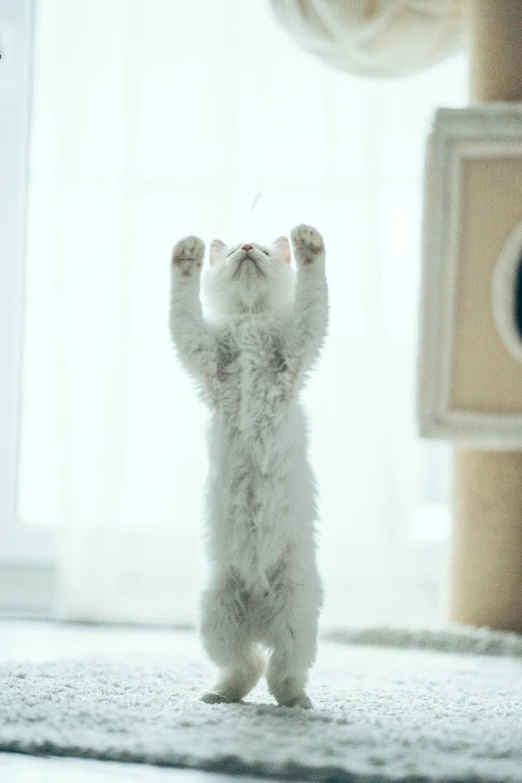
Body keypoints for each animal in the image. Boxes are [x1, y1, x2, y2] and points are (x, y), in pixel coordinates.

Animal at [169, 224, 328, 708]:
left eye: (261, 251)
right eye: (233, 254)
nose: (243, 249)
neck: (250, 324)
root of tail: (258, 608)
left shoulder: (298, 342)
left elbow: (314, 292)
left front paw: (307, 240)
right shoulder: (201, 350)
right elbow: (182, 304)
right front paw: (187, 252)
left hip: (296, 615)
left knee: (281, 671)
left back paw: (296, 703)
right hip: (216, 610)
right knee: (246, 666)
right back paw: (217, 695)